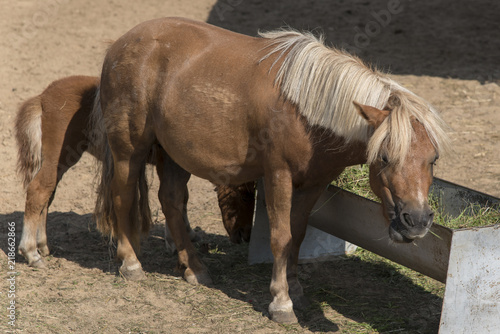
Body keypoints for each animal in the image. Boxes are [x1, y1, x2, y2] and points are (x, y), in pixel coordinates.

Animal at [14, 75, 254, 268]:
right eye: (244, 196)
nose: (245, 236)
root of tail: (43, 97)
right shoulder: (167, 165)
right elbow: (176, 198)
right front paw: (174, 241)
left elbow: (180, 197)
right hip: (60, 156)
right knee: (39, 191)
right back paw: (31, 253)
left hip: (60, 162)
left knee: (47, 196)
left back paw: (43, 245)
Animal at [93, 18, 450, 324]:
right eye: (385, 158)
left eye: (432, 159)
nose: (417, 221)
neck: (306, 111)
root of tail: (120, 45)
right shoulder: (278, 176)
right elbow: (281, 236)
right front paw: (281, 302)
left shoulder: (313, 184)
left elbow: (298, 234)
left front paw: (296, 289)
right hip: (129, 151)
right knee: (123, 198)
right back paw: (131, 263)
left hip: (176, 155)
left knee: (171, 201)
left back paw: (193, 267)